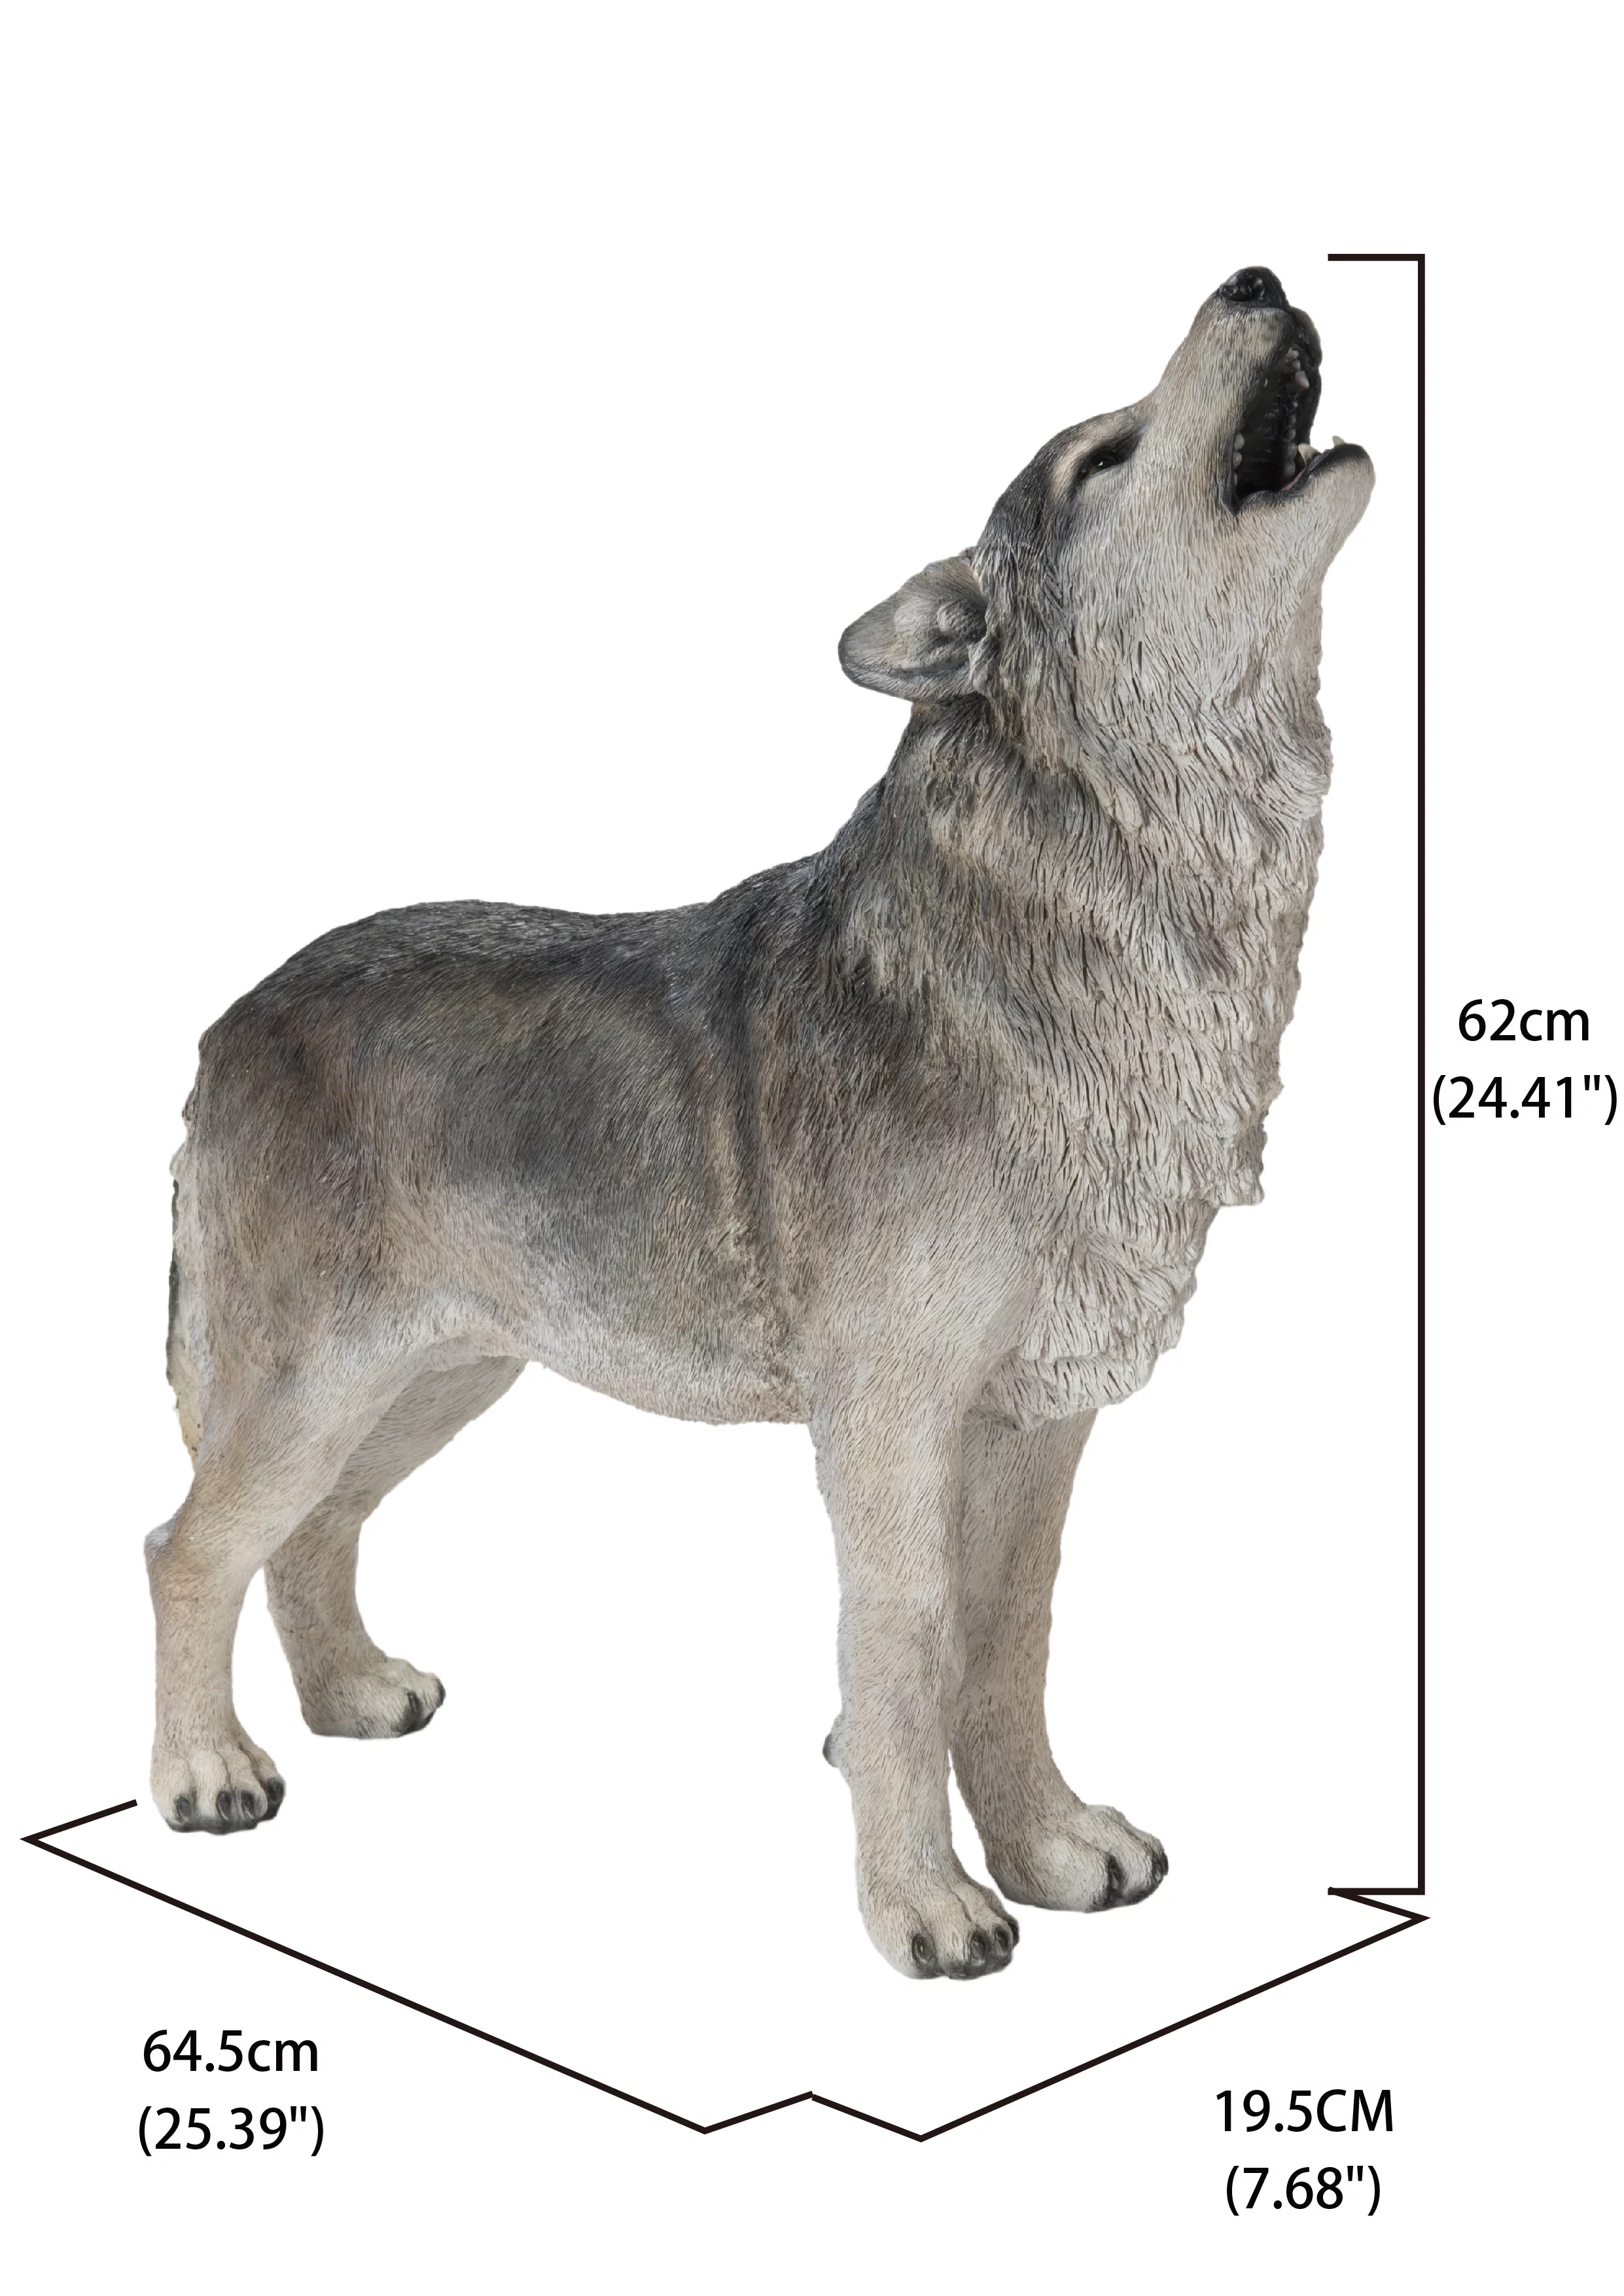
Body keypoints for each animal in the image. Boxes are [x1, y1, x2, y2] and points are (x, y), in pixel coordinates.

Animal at [147, 265, 1372, 1979]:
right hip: (321, 1383)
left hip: (433, 1381)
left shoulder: (1038, 1419)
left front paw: (1052, 1847)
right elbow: (907, 1653)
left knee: (308, 1537)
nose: (1254, 278)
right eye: (1104, 456)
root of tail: (234, 1015)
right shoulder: (889, 1423)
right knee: (190, 1546)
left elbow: (1010, 1643)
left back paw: (352, 1701)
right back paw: (207, 1773)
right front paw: (928, 1908)